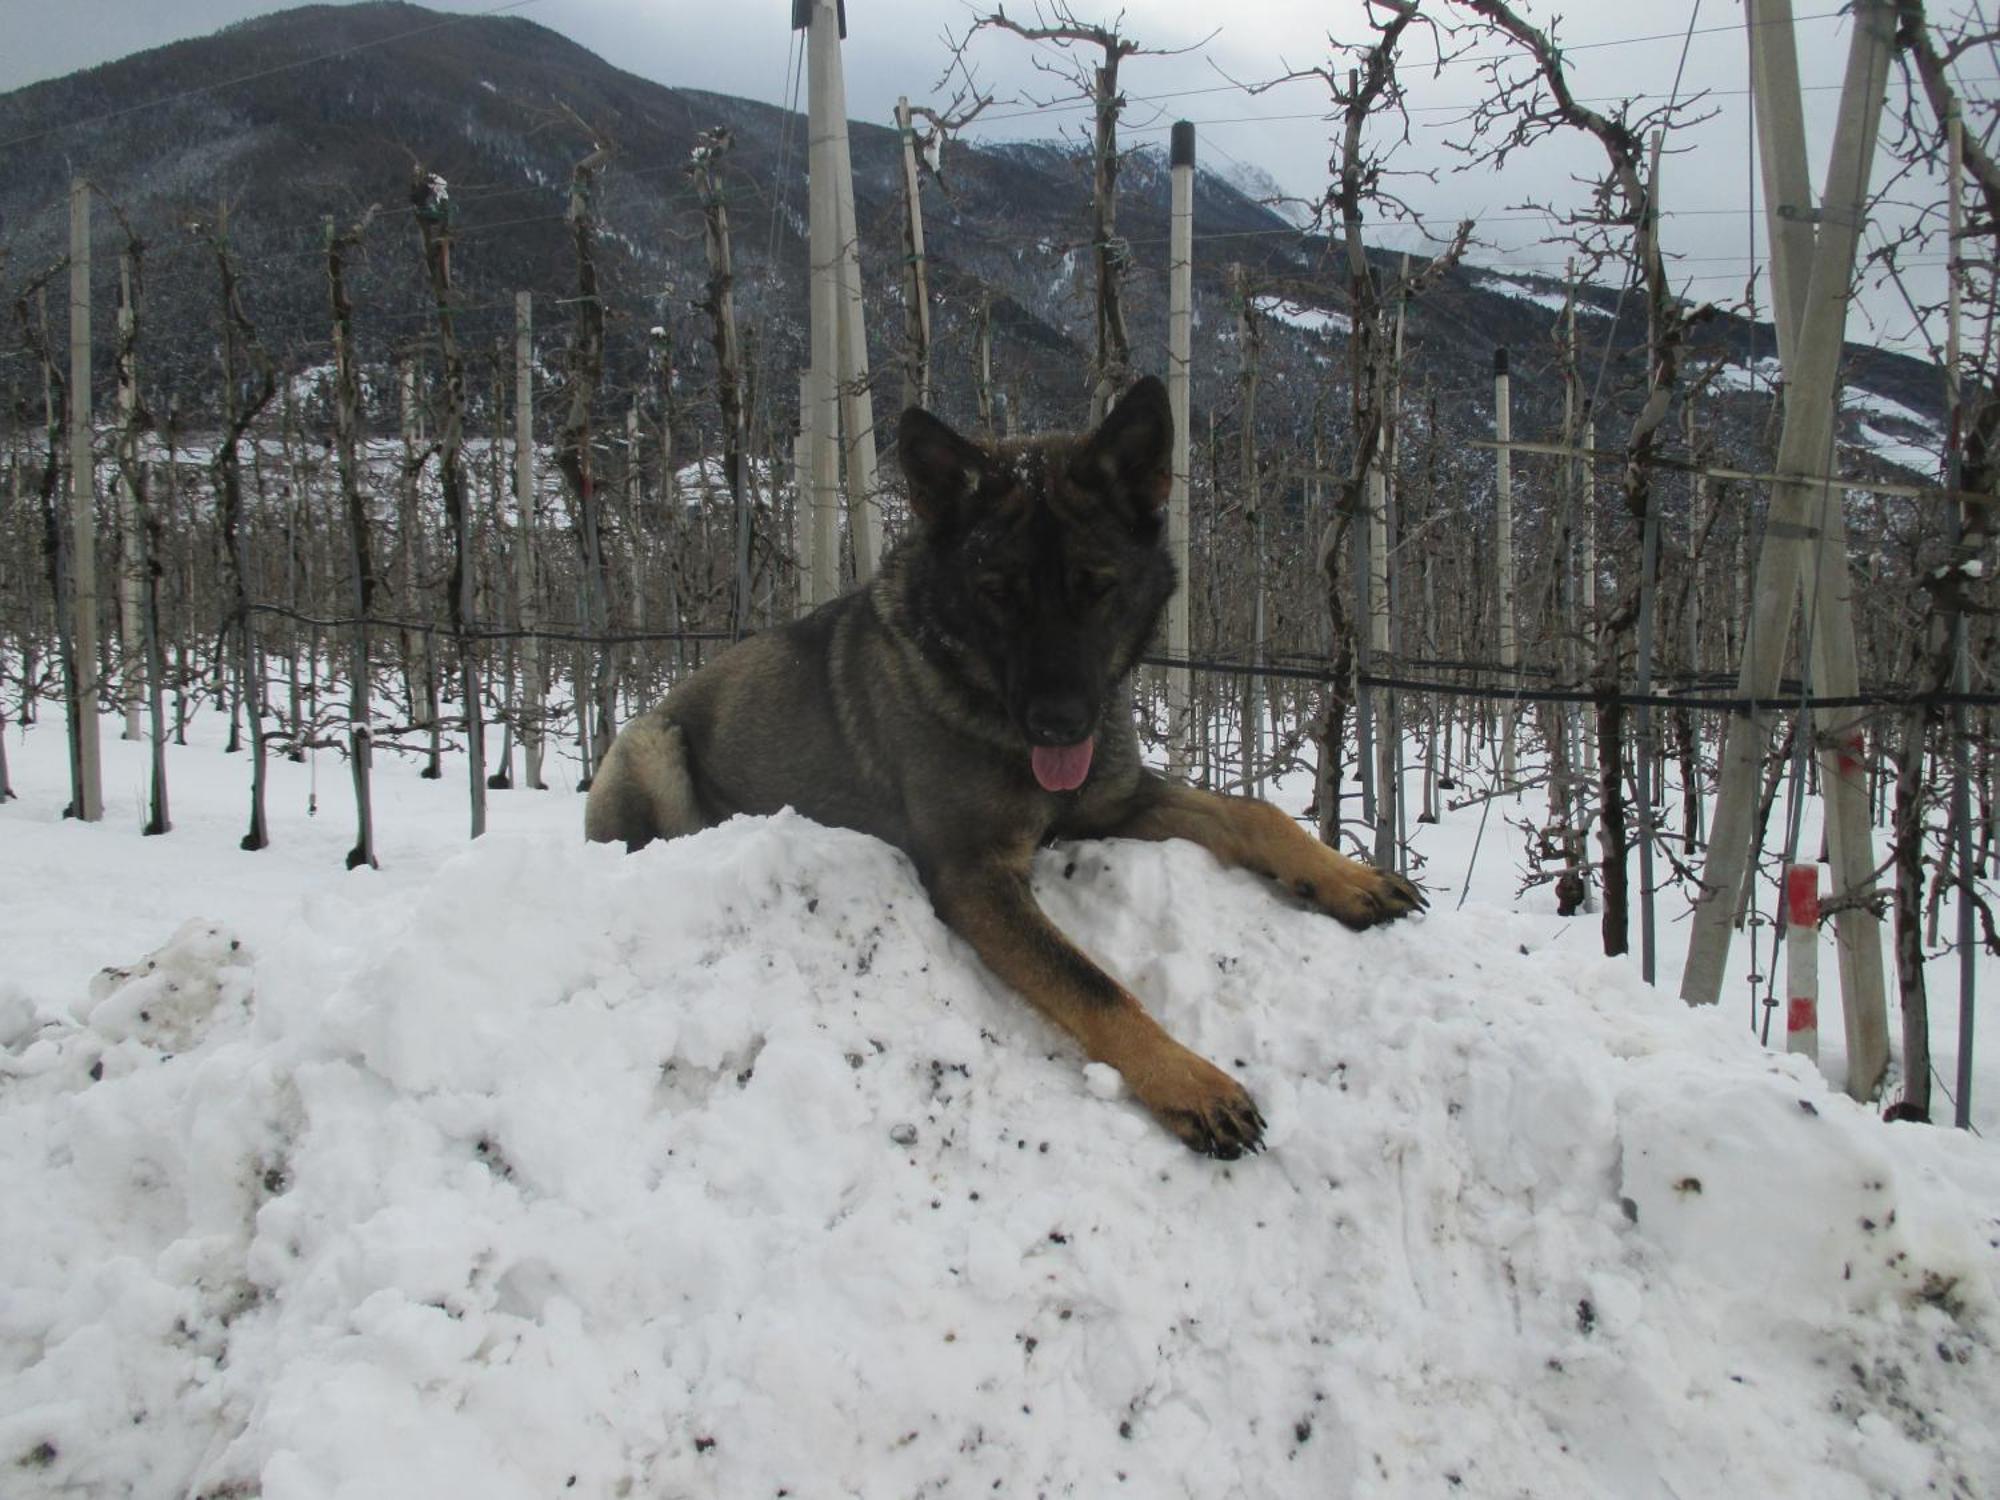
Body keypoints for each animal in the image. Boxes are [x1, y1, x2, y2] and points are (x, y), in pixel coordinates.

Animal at [584, 378, 1432, 1160]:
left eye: (1098, 588)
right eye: (997, 594)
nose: (1060, 723)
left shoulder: (1115, 801)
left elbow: (1256, 812)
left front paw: (1350, 878)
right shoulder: (975, 874)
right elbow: (1094, 983)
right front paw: (1192, 1082)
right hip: (650, 744)